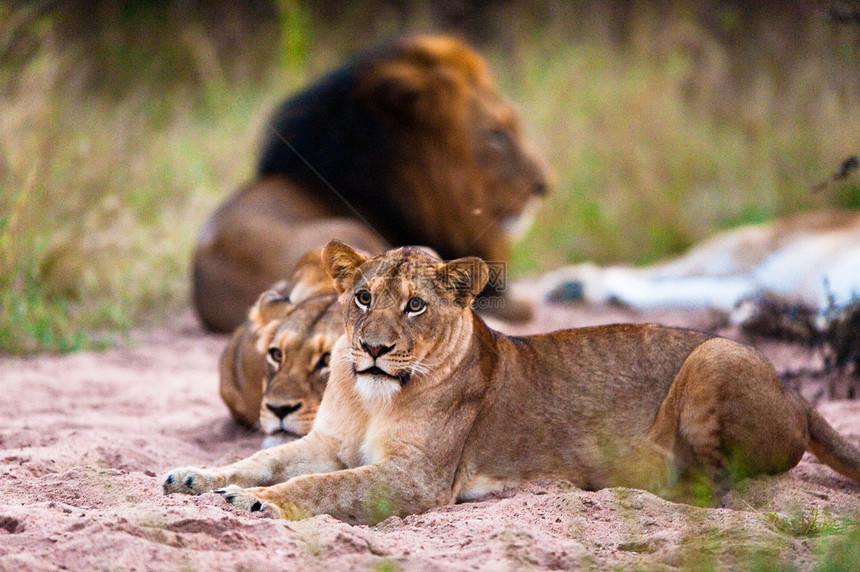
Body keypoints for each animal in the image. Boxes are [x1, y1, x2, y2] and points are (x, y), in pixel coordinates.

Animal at [163, 240, 860, 524]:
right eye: (362, 298)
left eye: (414, 306)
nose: (374, 349)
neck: (370, 398)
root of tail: (798, 394)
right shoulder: (326, 443)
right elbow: (267, 458)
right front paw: (197, 478)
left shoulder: (416, 478)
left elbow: (324, 488)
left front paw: (262, 504)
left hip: (715, 354)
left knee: (721, 483)